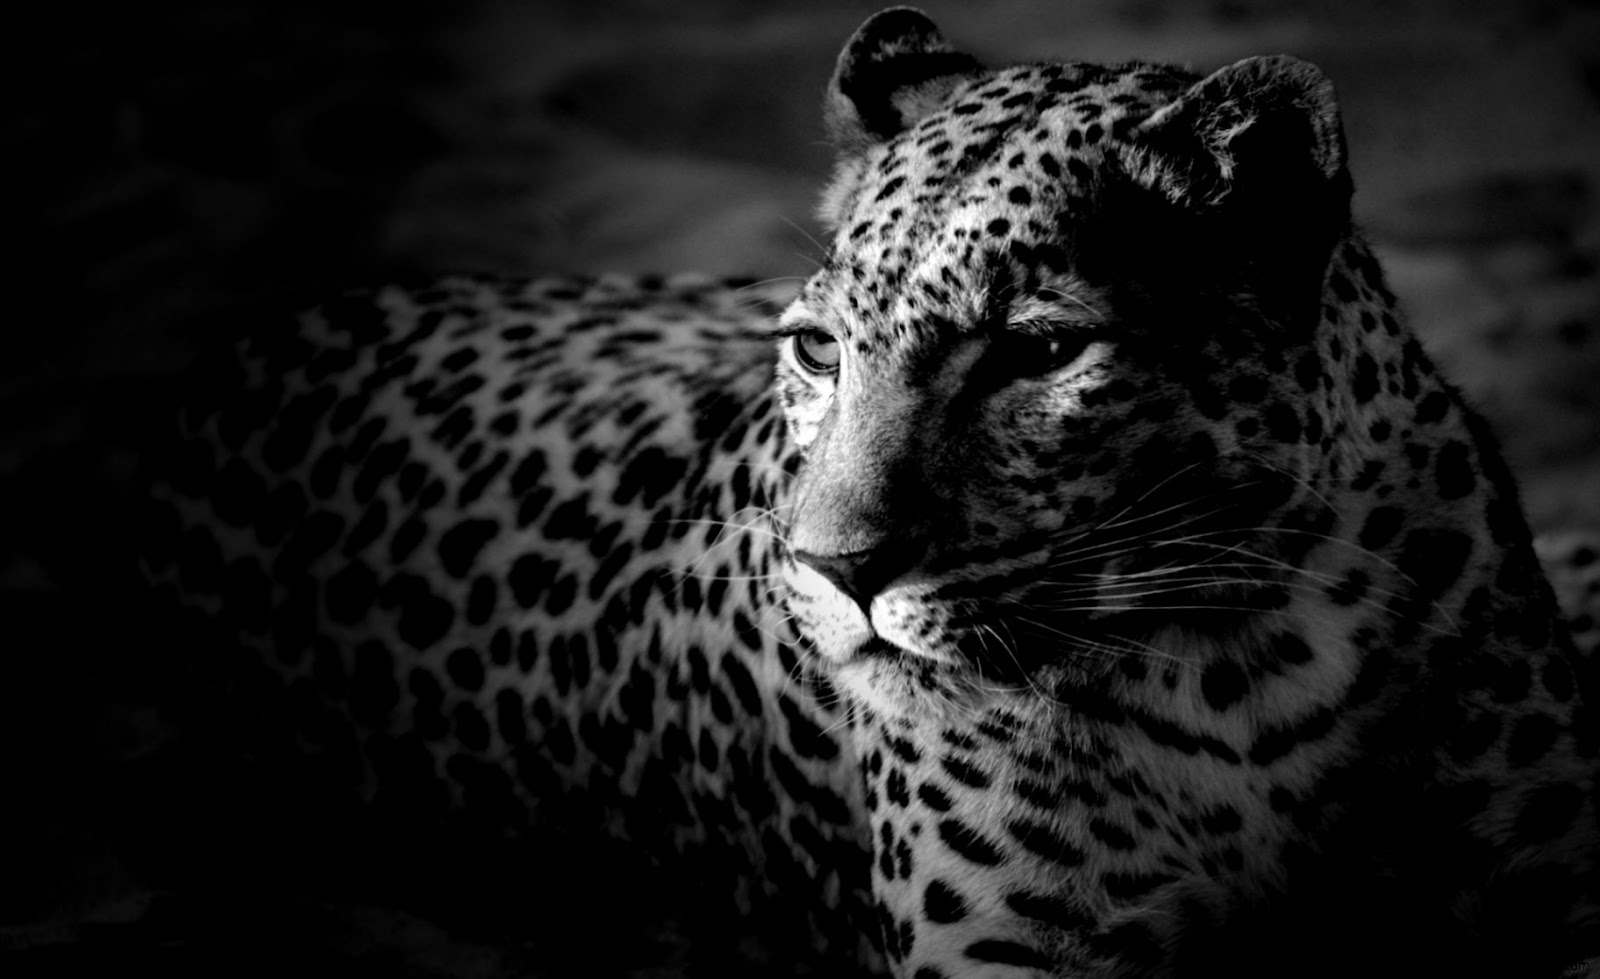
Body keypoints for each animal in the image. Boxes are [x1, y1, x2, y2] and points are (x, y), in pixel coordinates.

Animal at [139, 7, 1600, 978]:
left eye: (1037, 354)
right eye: (815, 348)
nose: (836, 572)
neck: (1246, 659)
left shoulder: (1550, 864)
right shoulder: (1016, 960)